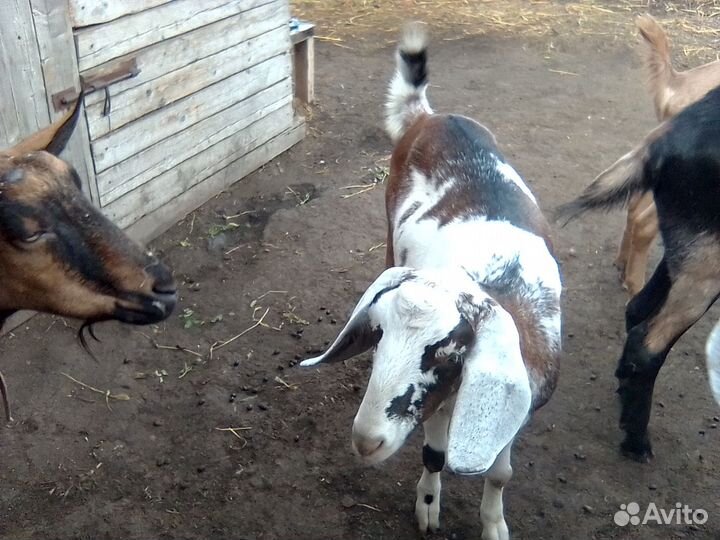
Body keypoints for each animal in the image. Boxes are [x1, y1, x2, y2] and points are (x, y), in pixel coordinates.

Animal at [301, 23, 562, 539]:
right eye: (378, 335)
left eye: (447, 352)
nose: (367, 441)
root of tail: (430, 115)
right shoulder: (440, 406)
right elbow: (435, 454)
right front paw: (427, 506)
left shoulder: (509, 402)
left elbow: (500, 473)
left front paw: (493, 523)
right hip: (387, 228)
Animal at [558, 84, 720, 462]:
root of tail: (659, 143)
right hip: (708, 263)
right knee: (647, 343)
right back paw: (636, 443)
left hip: (689, 250)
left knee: (637, 308)